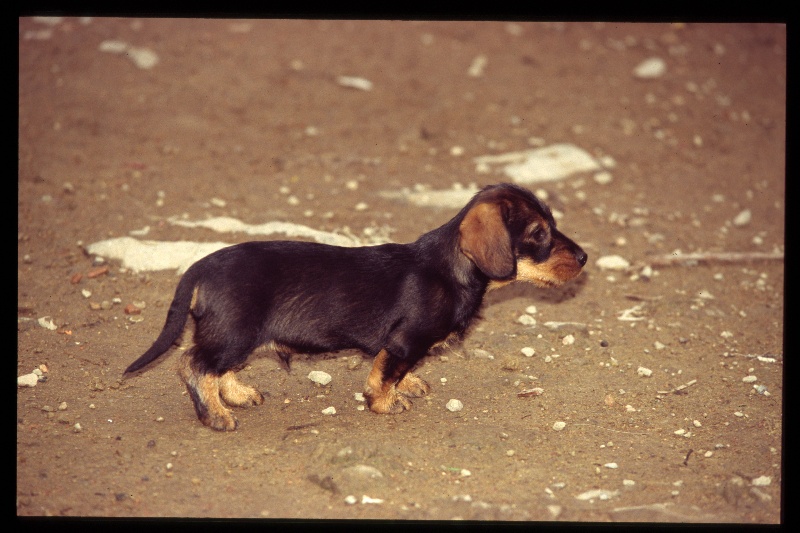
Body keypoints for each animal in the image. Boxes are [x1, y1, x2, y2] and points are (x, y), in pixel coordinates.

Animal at [125, 183, 588, 428]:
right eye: (538, 232)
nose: (584, 258)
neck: (450, 269)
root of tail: (200, 265)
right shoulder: (404, 341)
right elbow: (384, 375)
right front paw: (386, 402)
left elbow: (397, 372)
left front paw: (408, 386)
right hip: (234, 333)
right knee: (193, 364)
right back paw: (216, 415)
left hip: (238, 337)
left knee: (218, 369)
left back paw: (238, 395)